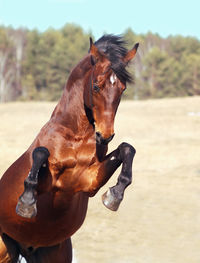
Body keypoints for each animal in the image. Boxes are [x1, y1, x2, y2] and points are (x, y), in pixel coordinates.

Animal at [0, 34, 138, 262]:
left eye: (123, 89)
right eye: (96, 86)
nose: (105, 136)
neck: (76, 137)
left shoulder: (89, 182)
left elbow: (127, 149)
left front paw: (114, 196)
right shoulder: (48, 182)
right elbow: (40, 153)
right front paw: (26, 202)